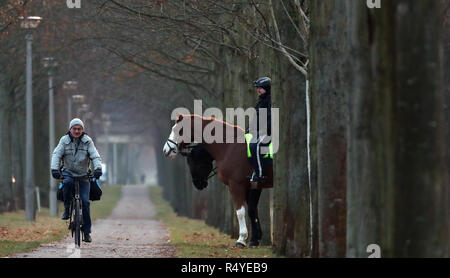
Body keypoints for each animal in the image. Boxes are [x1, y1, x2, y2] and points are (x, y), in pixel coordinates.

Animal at [163, 114, 272, 247]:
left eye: (178, 130)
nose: (165, 150)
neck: (230, 147)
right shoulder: (250, 186)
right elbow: (253, 210)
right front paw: (254, 239)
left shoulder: (237, 185)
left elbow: (241, 211)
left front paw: (241, 239)